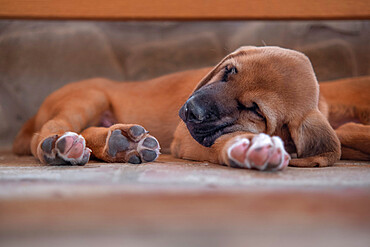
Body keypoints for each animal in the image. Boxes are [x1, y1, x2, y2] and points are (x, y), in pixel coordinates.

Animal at [12, 46, 370, 170]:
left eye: (254, 109)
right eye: (229, 71)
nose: (191, 110)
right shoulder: (187, 137)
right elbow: (221, 141)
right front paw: (249, 146)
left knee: (88, 132)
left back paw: (123, 143)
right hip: (89, 97)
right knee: (47, 133)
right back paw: (61, 146)